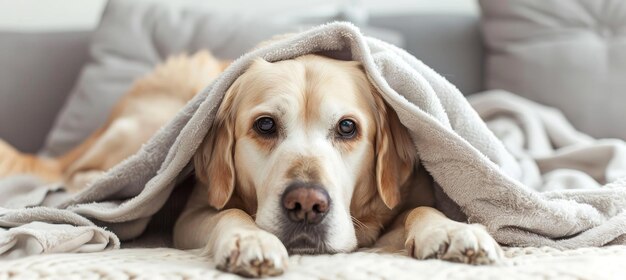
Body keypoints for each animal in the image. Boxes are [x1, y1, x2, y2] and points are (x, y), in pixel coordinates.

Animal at [172, 53, 502, 276]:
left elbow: (420, 209)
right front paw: (252, 238)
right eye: (265, 125)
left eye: (347, 127)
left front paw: (451, 231)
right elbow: (228, 212)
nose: (306, 204)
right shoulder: (189, 215)